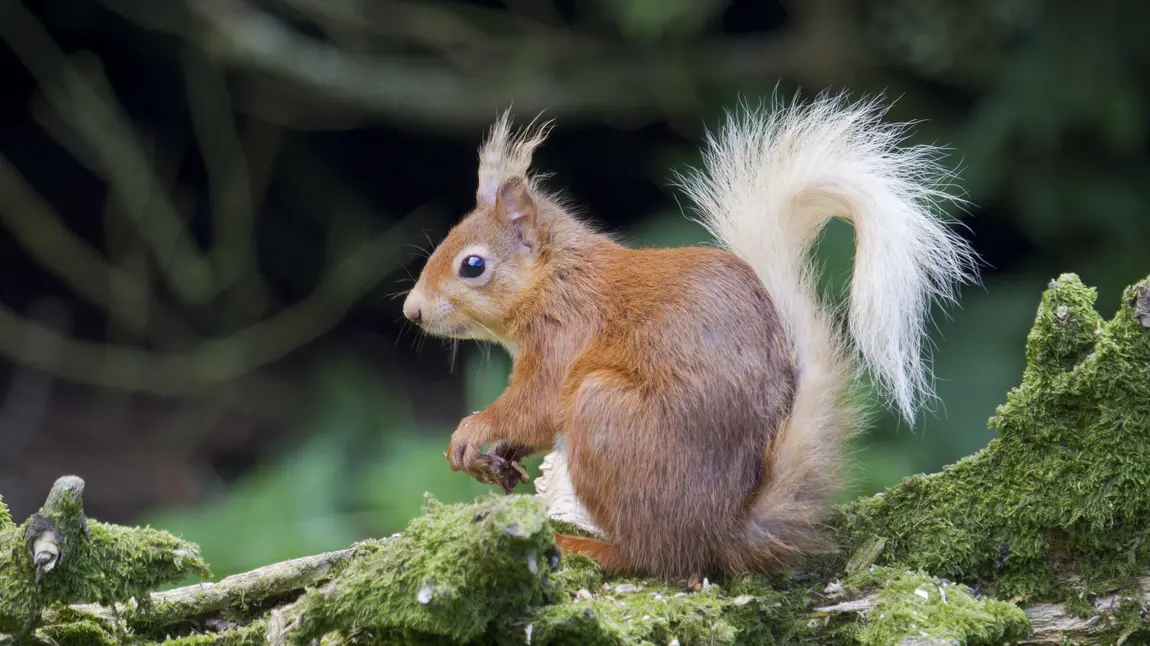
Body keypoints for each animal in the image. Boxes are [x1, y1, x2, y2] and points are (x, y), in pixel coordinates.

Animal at [400, 93, 975, 574]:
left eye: (473, 265)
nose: (412, 311)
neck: (556, 277)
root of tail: (719, 531)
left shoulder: (565, 334)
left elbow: (536, 404)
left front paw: (472, 431)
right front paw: (501, 456)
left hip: (603, 412)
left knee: (653, 557)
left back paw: (584, 546)